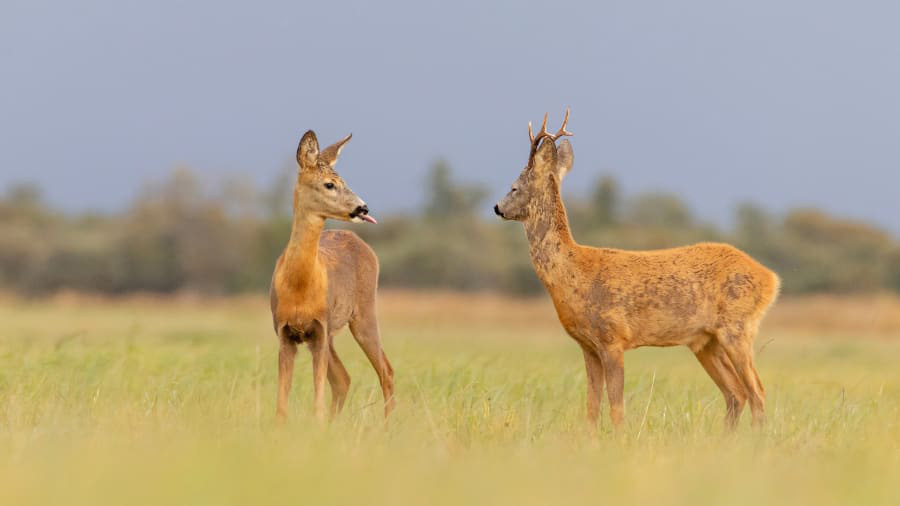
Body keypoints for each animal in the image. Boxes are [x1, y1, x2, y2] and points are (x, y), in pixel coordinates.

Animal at [268, 128, 394, 422]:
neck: (300, 287)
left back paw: (387, 426)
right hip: (335, 333)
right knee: (344, 379)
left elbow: (318, 401)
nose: (363, 208)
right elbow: (281, 404)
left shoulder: (320, 328)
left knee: (386, 371)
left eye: (343, 180)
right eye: (329, 184)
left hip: (363, 313)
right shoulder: (285, 332)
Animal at [492, 109, 780, 426]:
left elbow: (617, 406)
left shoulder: (613, 338)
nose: (497, 207)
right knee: (736, 393)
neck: (574, 272)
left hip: (738, 328)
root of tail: (771, 278)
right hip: (706, 341)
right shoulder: (588, 346)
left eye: (514, 187)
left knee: (757, 392)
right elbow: (592, 406)